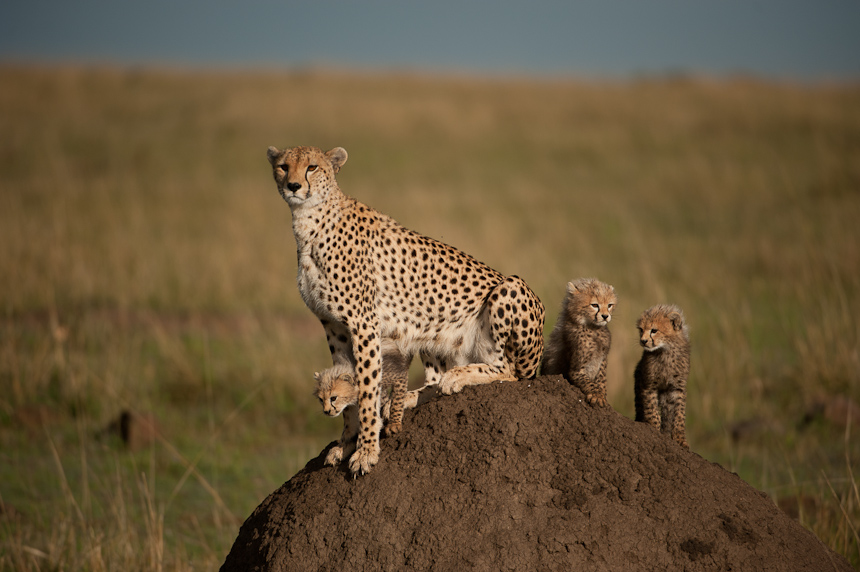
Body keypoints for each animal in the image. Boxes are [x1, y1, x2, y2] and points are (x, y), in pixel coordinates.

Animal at [268, 146, 544, 474]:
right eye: (283, 167)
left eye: (312, 167)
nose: (293, 186)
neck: (309, 222)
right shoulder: (334, 327)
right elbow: (347, 382)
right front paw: (346, 442)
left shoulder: (364, 324)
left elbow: (367, 389)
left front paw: (366, 451)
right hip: (427, 328)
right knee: (436, 380)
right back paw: (415, 395)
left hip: (508, 290)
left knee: (509, 371)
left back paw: (458, 377)